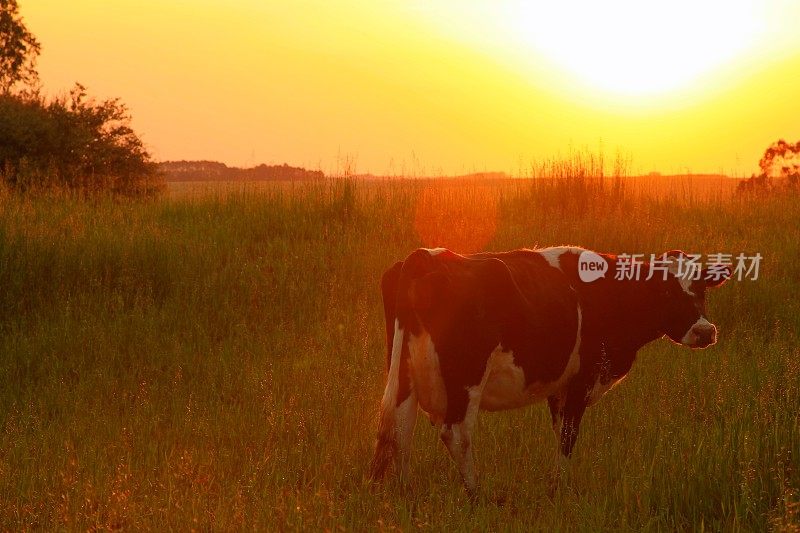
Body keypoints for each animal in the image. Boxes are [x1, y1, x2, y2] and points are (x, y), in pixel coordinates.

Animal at [368, 247, 732, 496]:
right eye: (666, 290)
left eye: (701, 289)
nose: (705, 331)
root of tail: (425, 256)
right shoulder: (582, 379)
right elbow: (569, 435)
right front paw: (561, 489)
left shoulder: (561, 387)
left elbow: (560, 433)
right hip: (466, 378)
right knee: (455, 433)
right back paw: (476, 494)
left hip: (403, 373)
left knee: (399, 426)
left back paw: (404, 492)